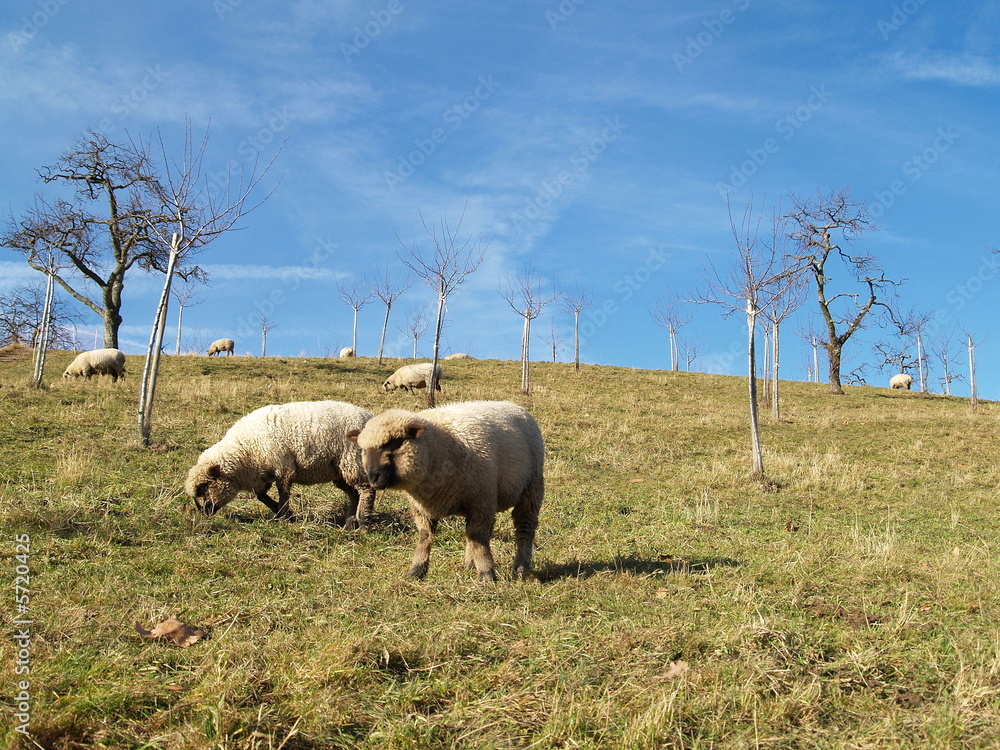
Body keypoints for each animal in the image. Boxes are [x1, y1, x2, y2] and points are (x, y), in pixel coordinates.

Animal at [185, 400, 377, 527]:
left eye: (204, 487)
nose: (202, 512)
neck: (245, 451)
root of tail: (369, 417)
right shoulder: (265, 474)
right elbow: (261, 495)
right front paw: (284, 514)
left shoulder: (283, 467)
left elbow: (283, 494)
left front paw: (284, 517)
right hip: (341, 471)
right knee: (354, 494)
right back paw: (349, 524)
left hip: (353, 461)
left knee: (367, 491)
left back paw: (363, 523)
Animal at [347, 400, 544, 582]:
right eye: (363, 450)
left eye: (395, 443)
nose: (373, 478)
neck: (438, 449)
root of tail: (514, 405)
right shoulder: (423, 508)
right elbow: (425, 538)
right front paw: (416, 572)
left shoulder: (479, 501)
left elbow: (479, 539)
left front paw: (486, 575)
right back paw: (469, 564)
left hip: (530, 489)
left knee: (524, 528)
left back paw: (520, 569)